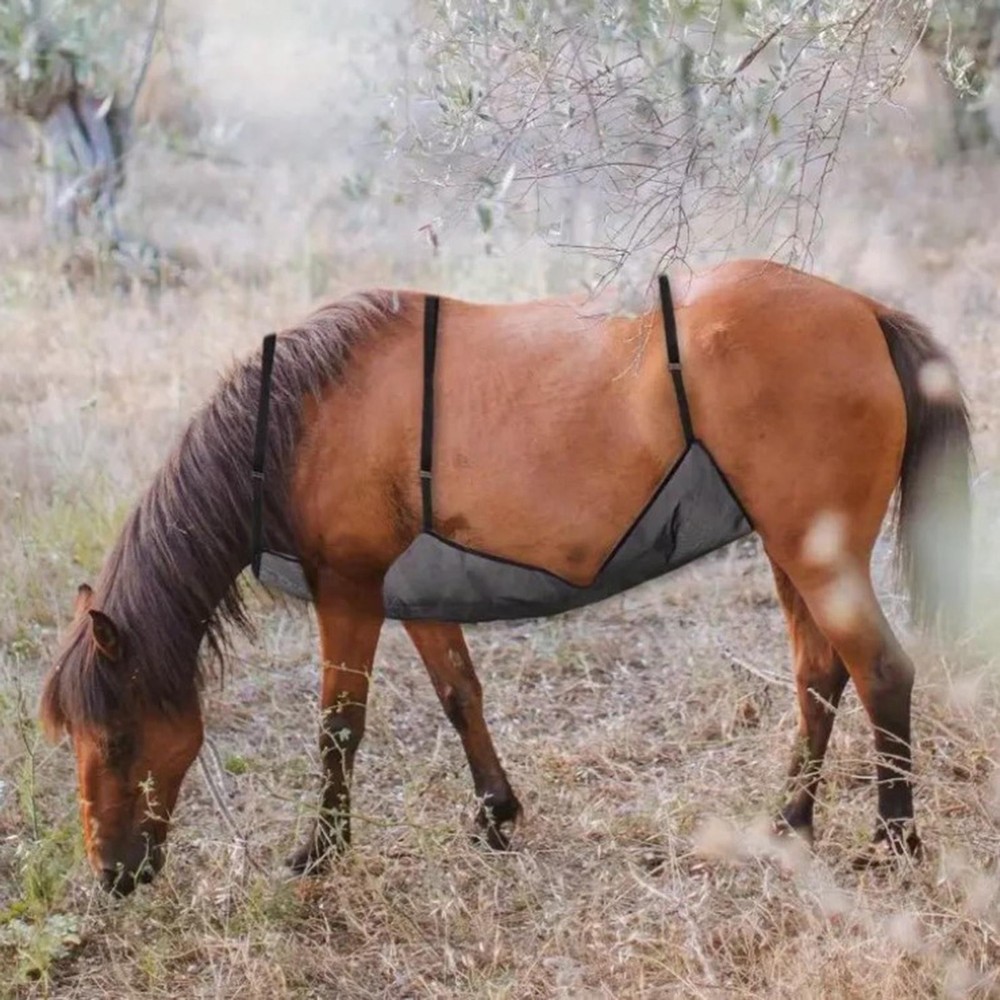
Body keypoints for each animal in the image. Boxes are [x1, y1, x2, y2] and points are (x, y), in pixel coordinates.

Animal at [39, 259, 971, 896]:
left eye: (116, 739)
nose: (112, 877)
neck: (301, 418)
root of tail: (867, 311)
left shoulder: (348, 591)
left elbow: (339, 726)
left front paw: (322, 850)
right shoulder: (412, 595)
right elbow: (460, 694)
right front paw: (496, 813)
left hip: (817, 556)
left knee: (880, 672)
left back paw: (893, 842)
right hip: (790, 553)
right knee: (819, 676)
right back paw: (789, 825)